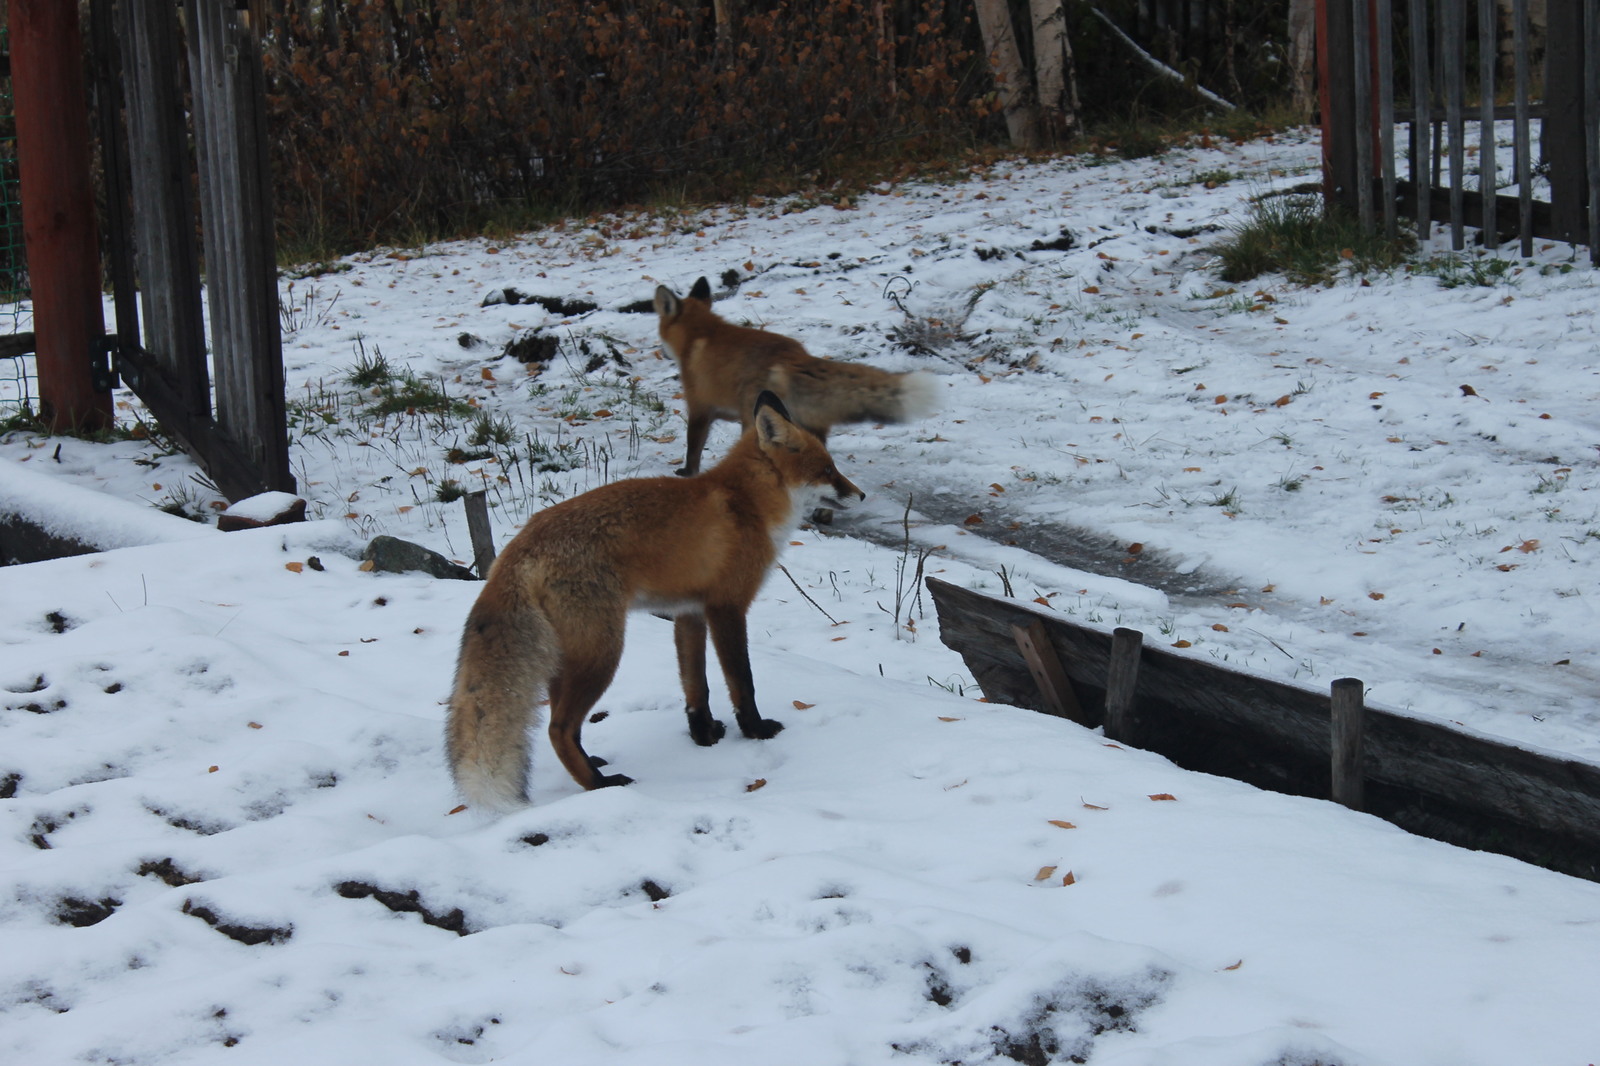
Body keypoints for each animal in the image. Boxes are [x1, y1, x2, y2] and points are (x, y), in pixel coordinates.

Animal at [444, 390, 864, 813]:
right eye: (827, 470)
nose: (860, 495)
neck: (746, 504)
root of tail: (519, 543)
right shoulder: (727, 607)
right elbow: (742, 681)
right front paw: (755, 730)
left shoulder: (689, 611)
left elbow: (697, 686)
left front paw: (704, 735)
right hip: (602, 652)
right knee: (557, 728)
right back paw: (600, 784)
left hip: (572, 654)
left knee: (562, 723)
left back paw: (592, 765)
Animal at [649, 273, 934, 473]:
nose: (661, 352)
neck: (700, 334)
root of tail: (795, 356)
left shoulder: (699, 406)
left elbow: (693, 450)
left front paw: (687, 473)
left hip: (756, 421)